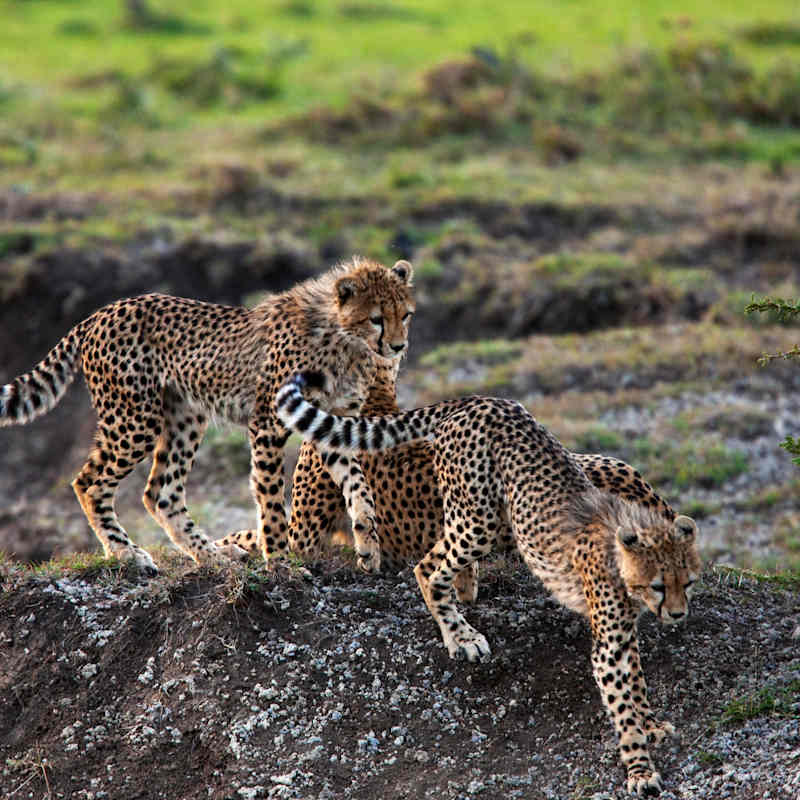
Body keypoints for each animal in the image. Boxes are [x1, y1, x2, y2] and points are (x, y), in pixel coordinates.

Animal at [0, 257, 415, 576]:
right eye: (377, 318)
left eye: (406, 315)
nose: (398, 346)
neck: (342, 337)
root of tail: (99, 314)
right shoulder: (268, 422)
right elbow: (270, 498)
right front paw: (282, 563)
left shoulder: (332, 425)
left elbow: (358, 487)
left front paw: (368, 546)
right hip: (136, 419)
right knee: (89, 483)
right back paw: (127, 554)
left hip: (185, 416)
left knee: (160, 493)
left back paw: (214, 556)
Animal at [275, 373, 701, 797]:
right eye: (659, 585)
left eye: (689, 582)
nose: (678, 615)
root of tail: (481, 400)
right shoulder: (609, 645)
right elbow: (622, 703)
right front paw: (640, 770)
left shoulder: (625, 632)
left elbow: (637, 683)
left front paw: (652, 726)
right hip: (478, 518)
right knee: (428, 568)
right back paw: (461, 636)